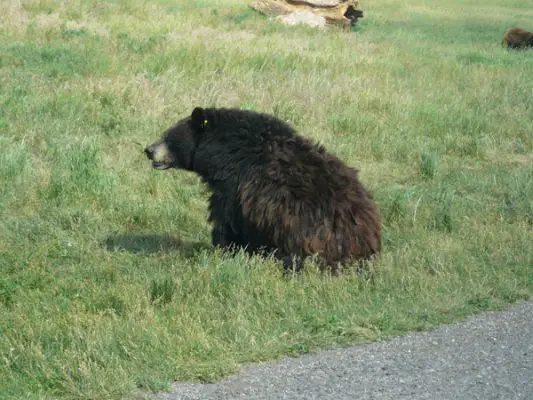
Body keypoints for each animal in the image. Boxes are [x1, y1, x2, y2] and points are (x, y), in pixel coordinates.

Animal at [143, 106, 380, 276]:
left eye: (169, 137)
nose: (148, 150)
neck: (224, 152)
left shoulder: (235, 186)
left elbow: (226, 220)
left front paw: (224, 249)